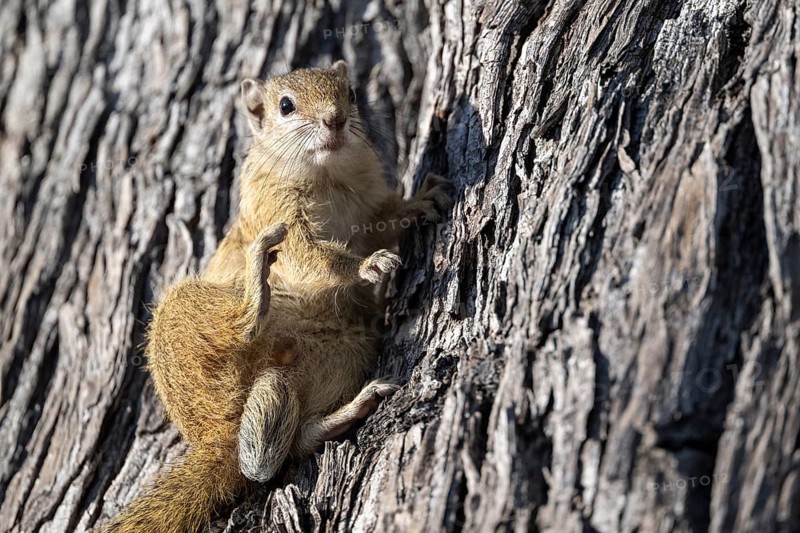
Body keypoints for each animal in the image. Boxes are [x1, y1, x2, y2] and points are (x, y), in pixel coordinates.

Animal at [103, 60, 452, 533]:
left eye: (351, 93)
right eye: (286, 106)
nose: (334, 119)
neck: (325, 175)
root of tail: (215, 441)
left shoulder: (369, 209)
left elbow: (386, 220)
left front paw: (419, 201)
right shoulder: (277, 210)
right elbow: (309, 256)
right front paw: (365, 267)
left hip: (343, 352)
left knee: (293, 441)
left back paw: (346, 411)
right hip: (184, 327)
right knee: (254, 439)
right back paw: (255, 288)